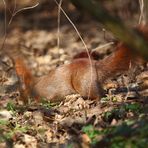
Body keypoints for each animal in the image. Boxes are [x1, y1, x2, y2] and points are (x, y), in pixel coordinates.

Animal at [12, 26, 146, 103]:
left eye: (19, 92)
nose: (18, 102)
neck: (34, 85)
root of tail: (96, 66)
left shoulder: (48, 92)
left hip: (82, 83)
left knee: (97, 94)